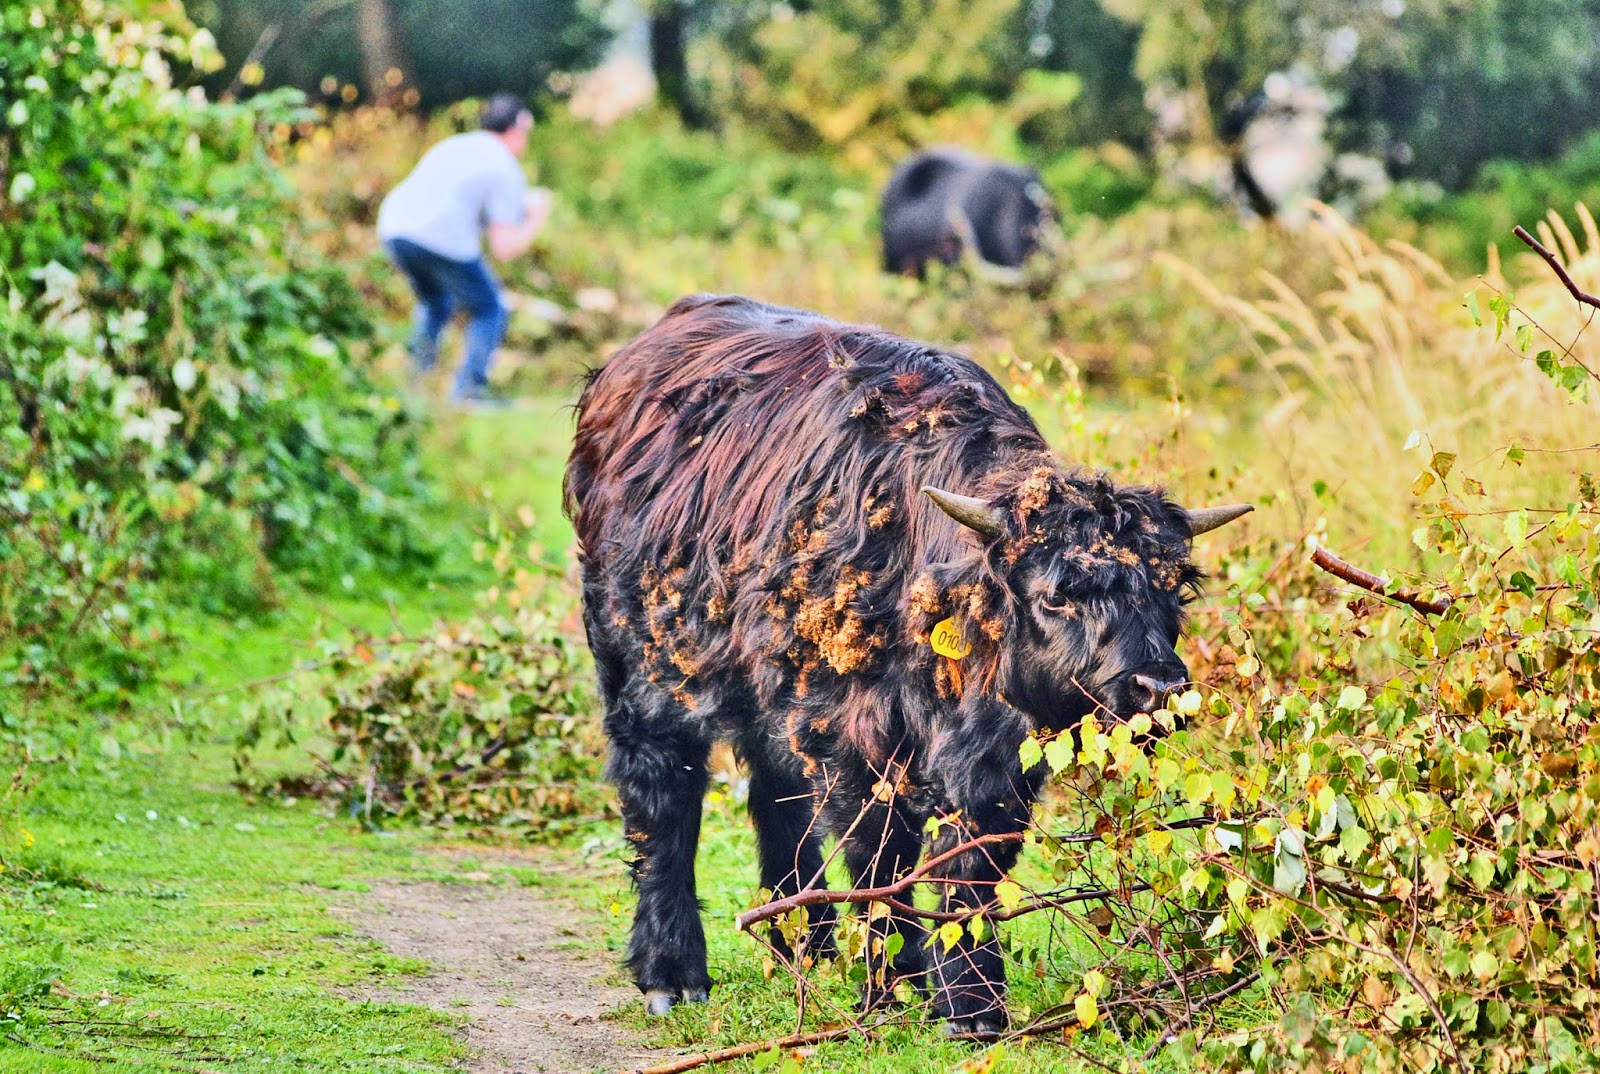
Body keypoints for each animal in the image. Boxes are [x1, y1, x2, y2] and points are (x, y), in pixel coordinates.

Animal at [569, 294, 1254, 1030]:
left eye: (1172, 589)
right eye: (1058, 593)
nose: (1159, 687)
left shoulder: (995, 758)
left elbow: (974, 861)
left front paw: (972, 1003)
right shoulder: (855, 739)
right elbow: (882, 858)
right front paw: (898, 986)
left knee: (774, 796)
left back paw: (806, 946)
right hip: (642, 668)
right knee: (664, 797)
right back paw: (673, 974)